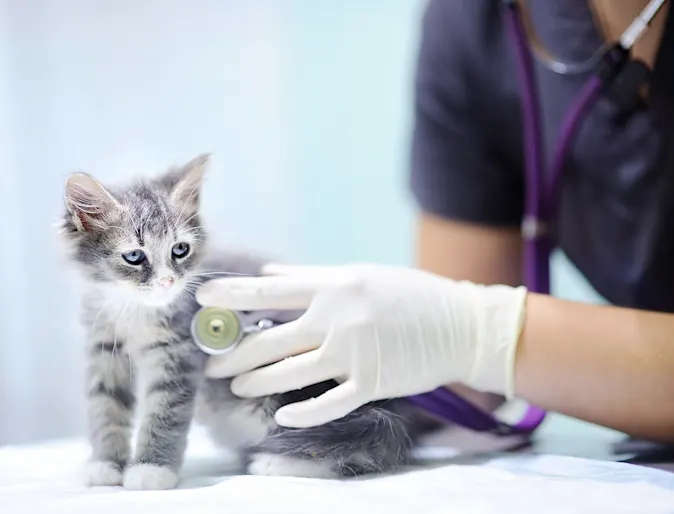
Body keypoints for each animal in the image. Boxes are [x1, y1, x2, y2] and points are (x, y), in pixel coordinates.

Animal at [59, 155, 436, 488]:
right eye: (135, 256)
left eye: (179, 250)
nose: (168, 282)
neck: (135, 310)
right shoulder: (103, 349)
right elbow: (106, 408)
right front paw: (106, 465)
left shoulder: (179, 357)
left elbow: (164, 413)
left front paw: (151, 470)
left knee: (365, 450)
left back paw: (276, 462)